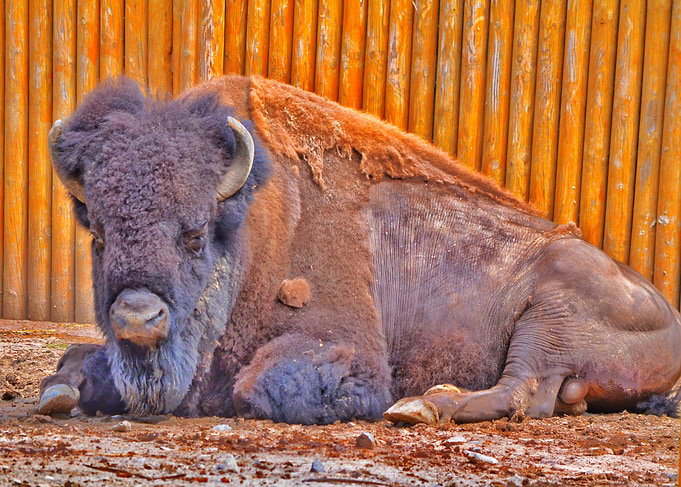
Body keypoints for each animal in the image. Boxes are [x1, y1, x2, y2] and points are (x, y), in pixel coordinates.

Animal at [39, 75, 681, 425]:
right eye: (99, 236)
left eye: (195, 233)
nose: (137, 318)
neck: (253, 221)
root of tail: (668, 312)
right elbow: (73, 361)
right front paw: (60, 391)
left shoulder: (346, 346)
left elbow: (258, 386)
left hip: (549, 317)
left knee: (522, 388)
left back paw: (423, 406)